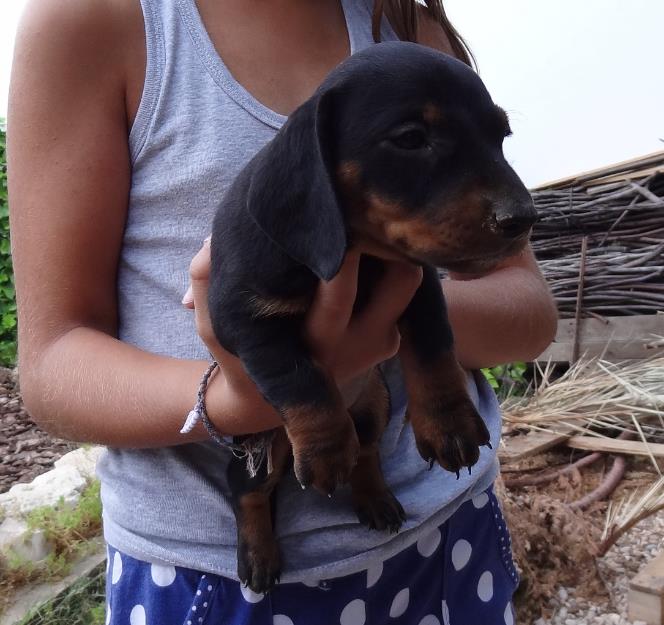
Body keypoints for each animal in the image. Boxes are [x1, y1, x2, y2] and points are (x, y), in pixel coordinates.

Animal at [210, 40, 536, 588]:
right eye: (411, 138)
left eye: (501, 136)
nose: (523, 219)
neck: (360, 255)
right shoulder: (244, 318)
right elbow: (297, 374)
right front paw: (324, 447)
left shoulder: (420, 286)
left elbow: (433, 349)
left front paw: (448, 425)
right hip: (260, 448)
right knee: (249, 491)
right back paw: (258, 554)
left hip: (376, 403)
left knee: (365, 449)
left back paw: (376, 498)